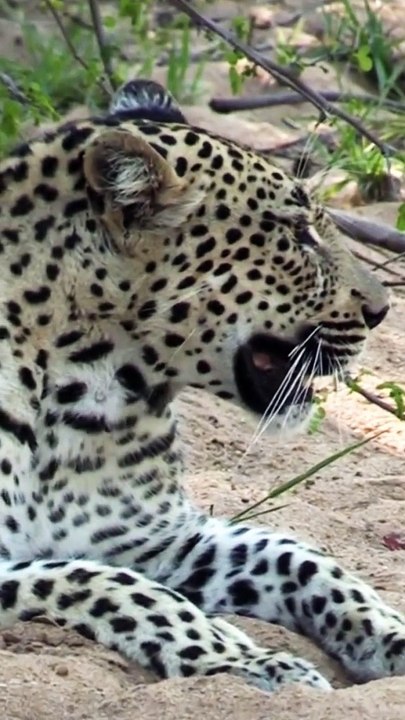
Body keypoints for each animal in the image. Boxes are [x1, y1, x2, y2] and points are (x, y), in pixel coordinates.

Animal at [0, 77, 403, 695]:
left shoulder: (156, 536)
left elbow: (299, 555)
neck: (84, 393)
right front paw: (255, 660)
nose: (382, 312)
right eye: (296, 233)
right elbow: (113, 585)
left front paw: (389, 634)